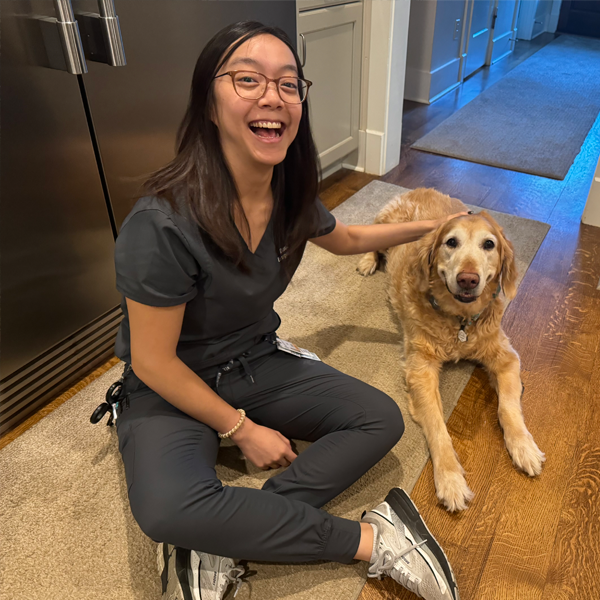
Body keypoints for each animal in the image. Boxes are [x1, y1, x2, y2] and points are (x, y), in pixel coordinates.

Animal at [358, 188, 548, 510]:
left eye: (489, 244)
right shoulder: (421, 370)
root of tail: (420, 189)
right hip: (384, 228)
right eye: (451, 242)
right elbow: (438, 428)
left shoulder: (506, 356)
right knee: (373, 241)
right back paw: (367, 260)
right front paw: (450, 480)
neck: (460, 319)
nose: (468, 279)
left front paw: (524, 446)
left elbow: (509, 407)